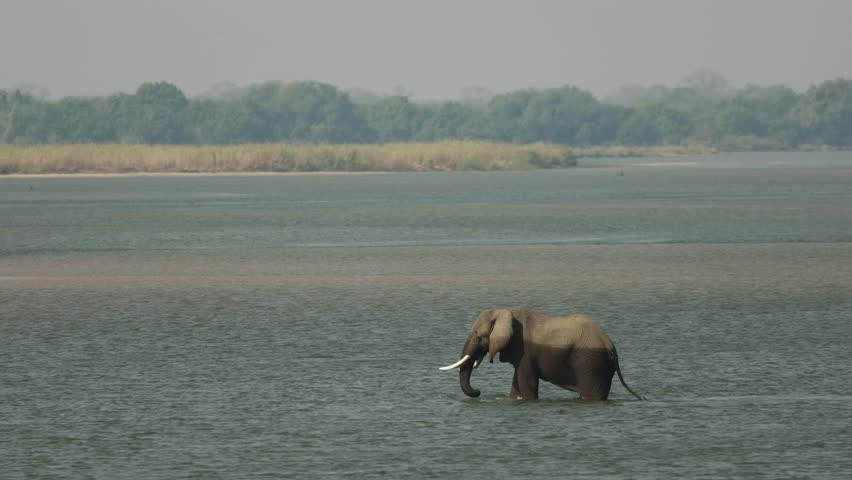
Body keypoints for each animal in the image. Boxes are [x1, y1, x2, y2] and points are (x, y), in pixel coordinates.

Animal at [439, 308, 645, 400]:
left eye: (476, 333)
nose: (478, 391)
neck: (507, 312)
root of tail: (612, 347)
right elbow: (516, 384)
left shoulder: (525, 350)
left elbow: (527, 383)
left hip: (590, 362)